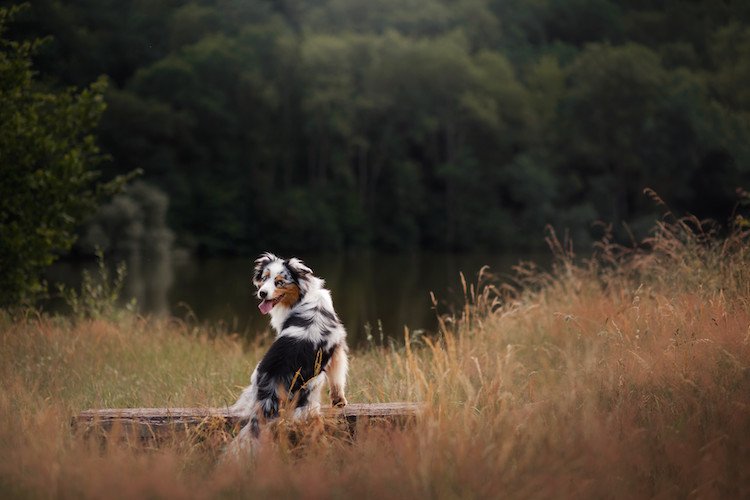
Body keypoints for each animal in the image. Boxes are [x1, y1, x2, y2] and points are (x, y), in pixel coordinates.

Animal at [225, 254, 352, 458]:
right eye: (265, 278)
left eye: (280, 282)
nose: (262, 293)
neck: (304, 297)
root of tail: (271, 392)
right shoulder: (337, 352)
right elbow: (338, 380)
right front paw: (339, 401)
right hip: (313, 385)